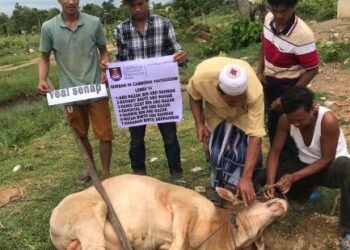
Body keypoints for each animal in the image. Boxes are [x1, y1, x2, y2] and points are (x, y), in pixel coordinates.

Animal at [49, 175, 288, 249]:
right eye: (258, 196)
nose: (282, 202)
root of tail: (52, 222)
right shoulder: (183, 205)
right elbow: (179, 242)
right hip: (92, 216)